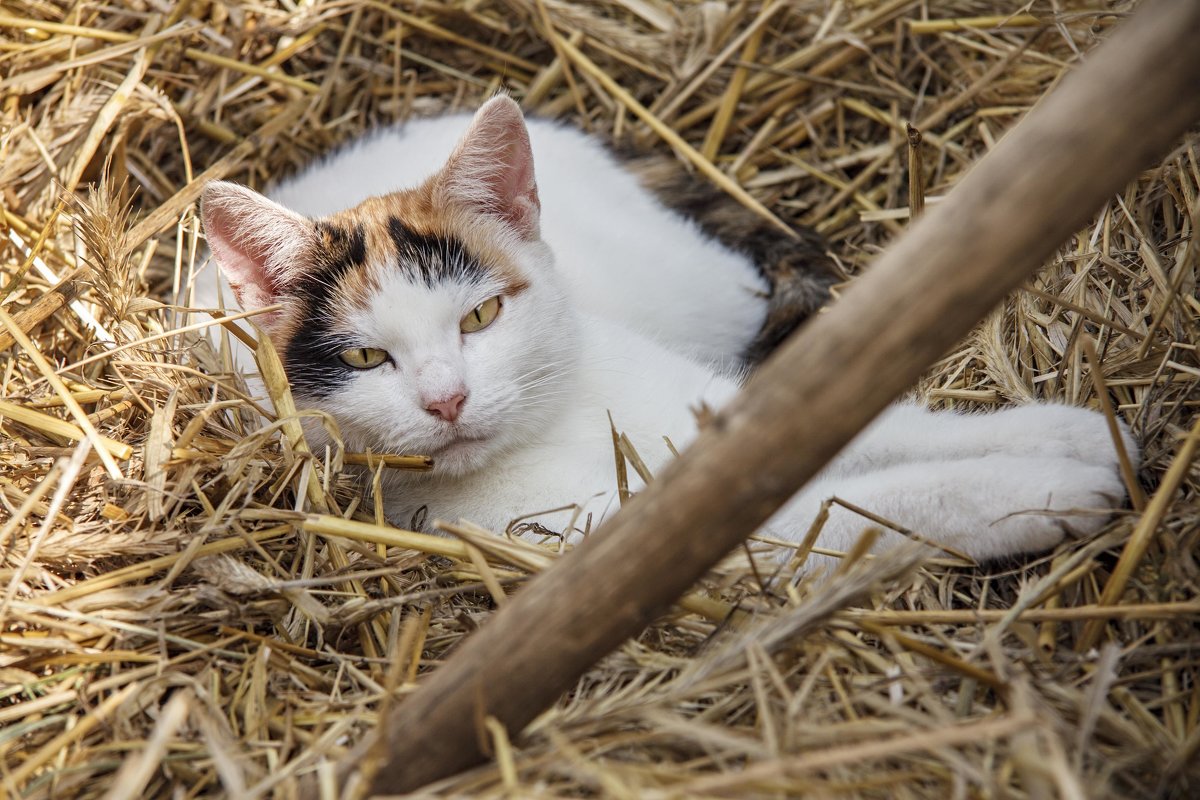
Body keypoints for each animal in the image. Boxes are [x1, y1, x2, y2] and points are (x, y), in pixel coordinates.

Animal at [196, 95, 1132, 568]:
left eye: (480, 316)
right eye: (365, 357)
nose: (448, 401)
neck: (555, 422)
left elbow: (879, 432)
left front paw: (1061, 439)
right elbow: (849, 510)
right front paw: (1034, 493)